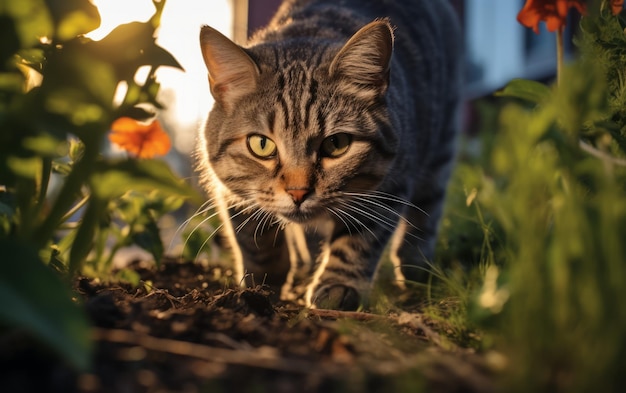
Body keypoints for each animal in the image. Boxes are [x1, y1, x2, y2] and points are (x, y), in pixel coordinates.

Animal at [197, 0, 460, 310]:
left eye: (337, 144)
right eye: (261, 145)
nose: (298, 192)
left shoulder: (388, 187)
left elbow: (357, 242)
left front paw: (337, 286)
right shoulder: (231, 190)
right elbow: (254, 241)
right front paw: (260, 286)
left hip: (440, 149)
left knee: (426, 215)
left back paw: (415, 269)